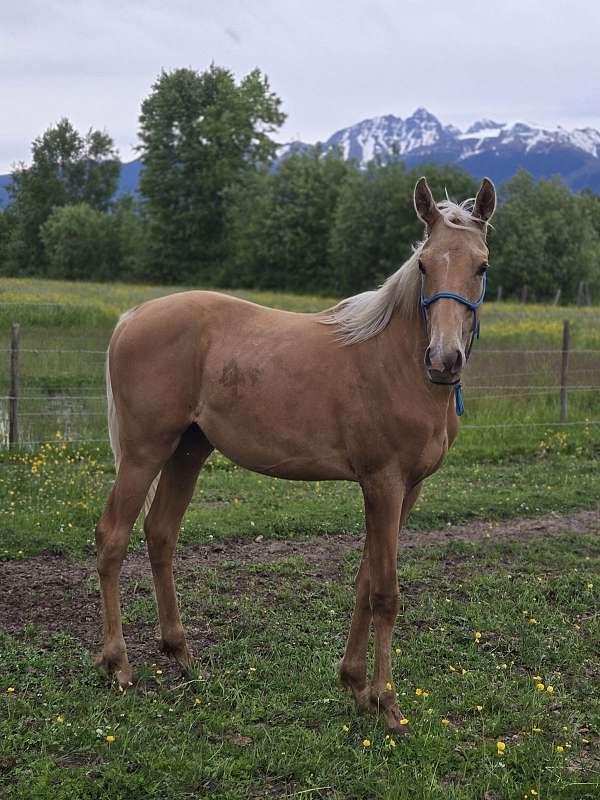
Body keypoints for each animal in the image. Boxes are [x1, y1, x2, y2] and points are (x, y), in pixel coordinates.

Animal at [95, 176, 496, 731]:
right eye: (423, 264)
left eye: (481, 266)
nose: (444, 360)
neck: (397, 362)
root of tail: (133, 316)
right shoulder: (383, 483)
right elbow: (385, 592)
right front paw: (387, 703)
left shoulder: (406, 489)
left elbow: (365, 579)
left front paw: (356, 686)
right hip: (143, 453)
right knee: (113, 538)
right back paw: (119, 664)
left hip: (187, 452)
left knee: (160, 534)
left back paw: (182, 655)